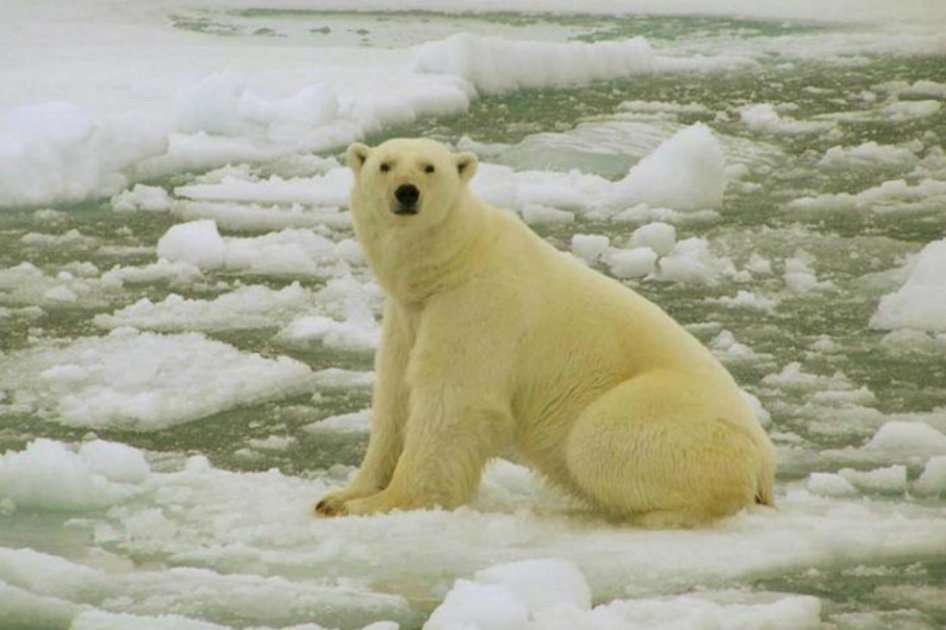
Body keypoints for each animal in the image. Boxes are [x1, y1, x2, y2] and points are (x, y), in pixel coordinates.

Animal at [315, 137, 775, 528]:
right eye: (385, 165)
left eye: (430, 167)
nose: (407, 192)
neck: (455, 261)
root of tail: (765, 464)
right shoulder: (408, 316)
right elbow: (395, 399)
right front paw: (339, 496)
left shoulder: (478, 306)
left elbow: (451, 403)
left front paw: (381, 503)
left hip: (675, 418)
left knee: (596, 440)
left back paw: (654, 513)